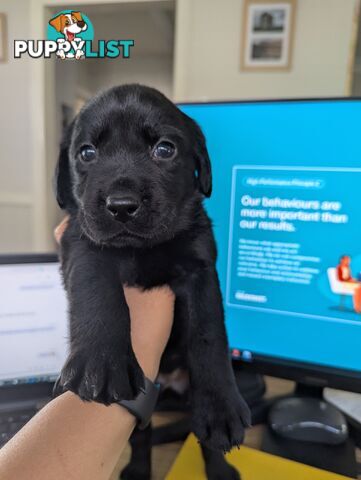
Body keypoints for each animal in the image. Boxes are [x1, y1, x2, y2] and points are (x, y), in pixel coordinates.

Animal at [54, 84, 250, 460]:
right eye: (86, 153)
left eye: (164, 149)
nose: (121, 206)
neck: (141, 249)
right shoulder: (82, 239)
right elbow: (97, 287)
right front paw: (102, 360)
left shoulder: (200, 266)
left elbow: (209, 334)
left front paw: (220, 406)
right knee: (140, 438)